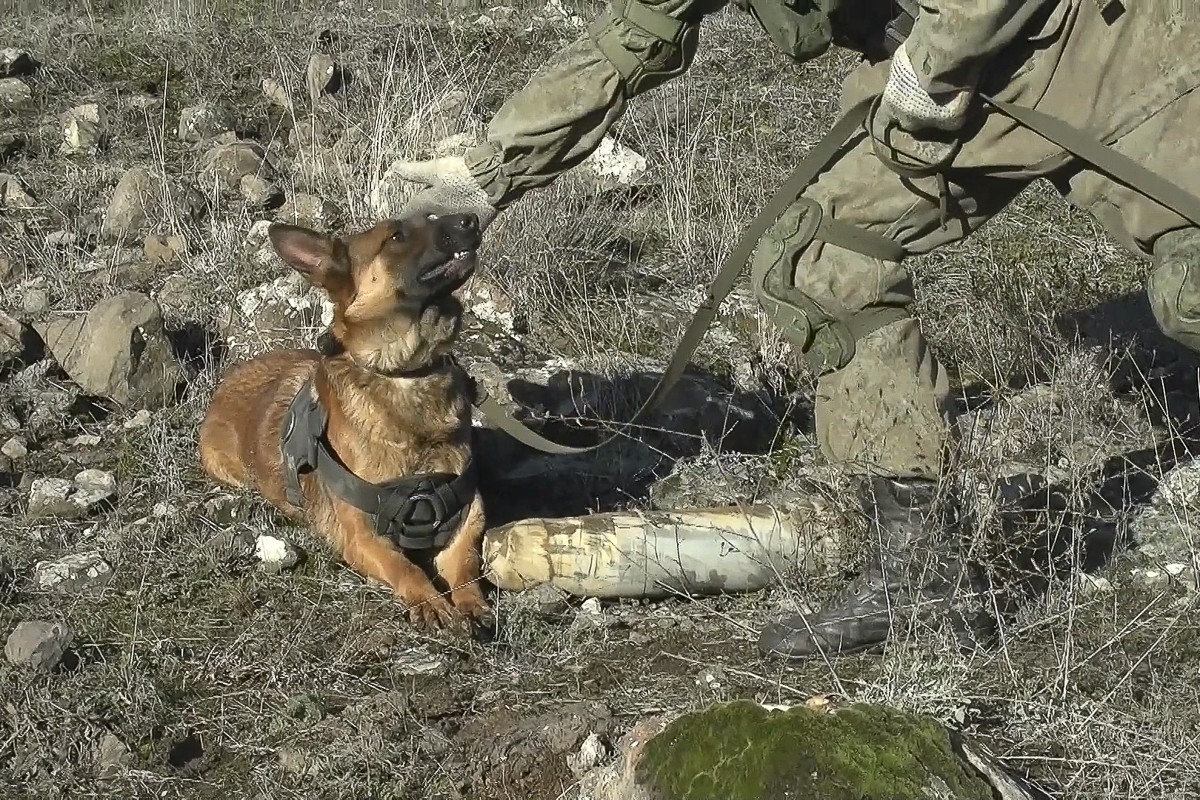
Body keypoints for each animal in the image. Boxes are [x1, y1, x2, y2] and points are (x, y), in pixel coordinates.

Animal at [196, 212, 492, 638]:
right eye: (396, 236)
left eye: (433, 216)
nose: (470, 218)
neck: (406, 373)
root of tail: (229, 378)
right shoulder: (363, 537)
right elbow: (404, 566)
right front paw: (429, 601)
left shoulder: (469, 513)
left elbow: (465, 563)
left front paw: (470, 604)